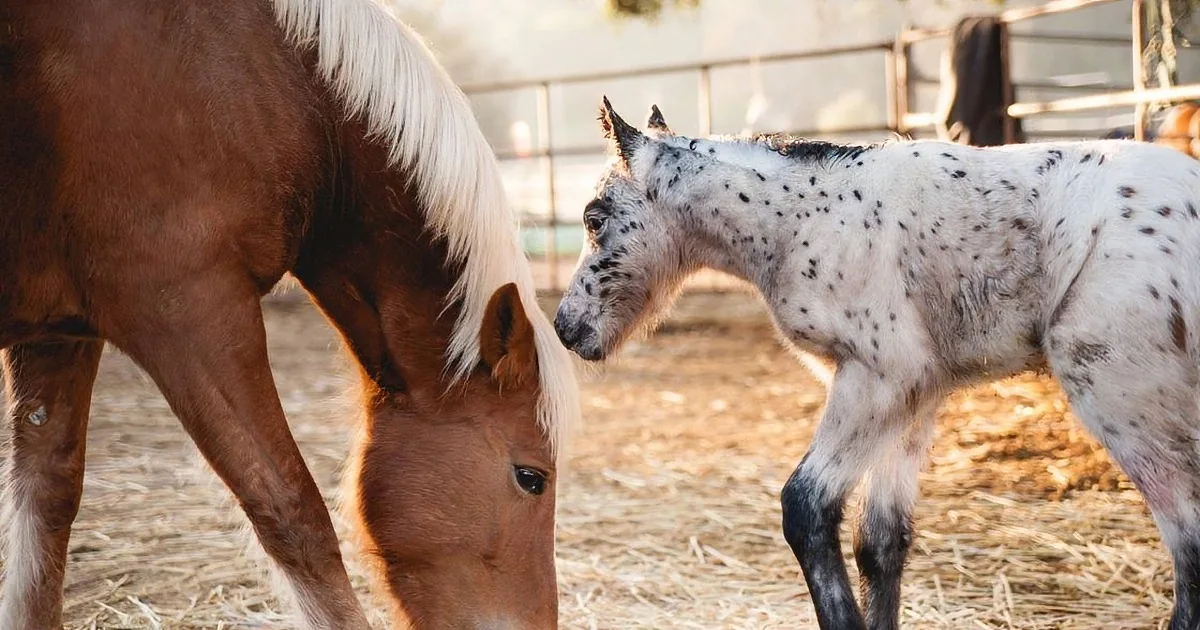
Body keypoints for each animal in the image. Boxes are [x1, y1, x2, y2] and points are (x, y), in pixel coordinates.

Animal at [554, 97, 1200, 630]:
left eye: (593, 218)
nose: (566, 327)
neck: (801, 218)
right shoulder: (918, 394)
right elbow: (882, 543)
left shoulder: (878, 378)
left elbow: (807, 508)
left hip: (1118, 390)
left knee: (1189, 546)